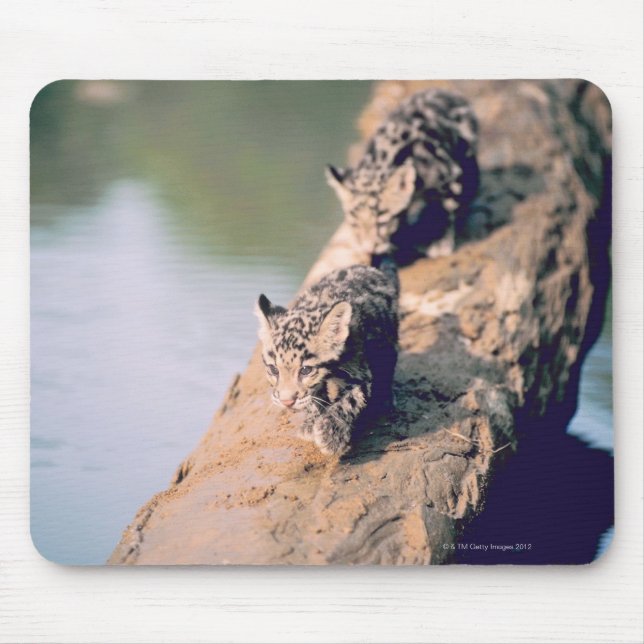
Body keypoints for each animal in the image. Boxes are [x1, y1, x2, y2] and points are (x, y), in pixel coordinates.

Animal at [255, 260, 399, 456]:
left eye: (306, 370)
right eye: (273, 370)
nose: (287, 402)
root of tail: (365, 267)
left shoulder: (359, 373)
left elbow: (348, 401)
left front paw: (331, 433)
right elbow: (314, 398)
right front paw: (312, 421)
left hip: (387, 338)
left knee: (388, 361)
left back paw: (384, 399)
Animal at [325, 88, 479, 265]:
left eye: (382, 219)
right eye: (354, 222)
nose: (368, 248)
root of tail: (444, 92)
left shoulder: (449, 176)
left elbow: (447, 206)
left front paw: (439, 240)